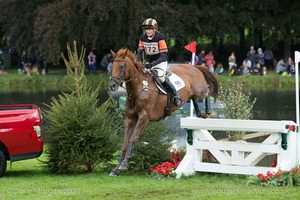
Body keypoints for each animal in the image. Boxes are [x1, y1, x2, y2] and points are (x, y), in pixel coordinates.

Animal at [108, 48, 218, 177]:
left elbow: (133, 139)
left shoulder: (143, 118)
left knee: (208, 90)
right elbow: (125, 142)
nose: (112, 85)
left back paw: (209, 111)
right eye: (112, 66)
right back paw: (201, 114)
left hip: (199, 90)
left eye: (121, 66)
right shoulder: (130, 118)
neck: (139, 88)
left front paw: (125, 164)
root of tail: (193, 66)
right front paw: (117, 168)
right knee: (195, 99)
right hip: (192, 94)